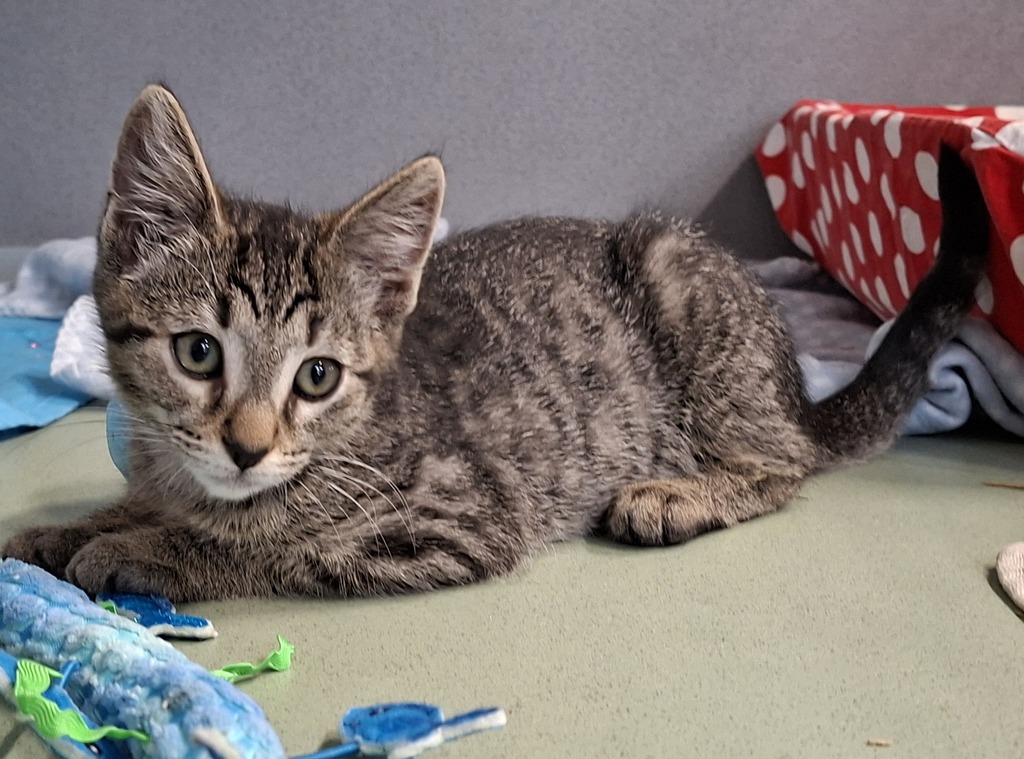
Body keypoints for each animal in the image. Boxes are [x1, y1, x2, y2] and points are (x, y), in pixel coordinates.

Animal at [3, 84, 990, 601]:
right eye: (199, 352)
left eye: (316, 376)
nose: (246, 448)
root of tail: (793, 389)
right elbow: (148, 504)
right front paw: (68, 528)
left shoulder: (462, 515)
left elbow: (279, 544)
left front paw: (152, 551)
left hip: (679, 276)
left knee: (785, 464)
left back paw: (680, 493)